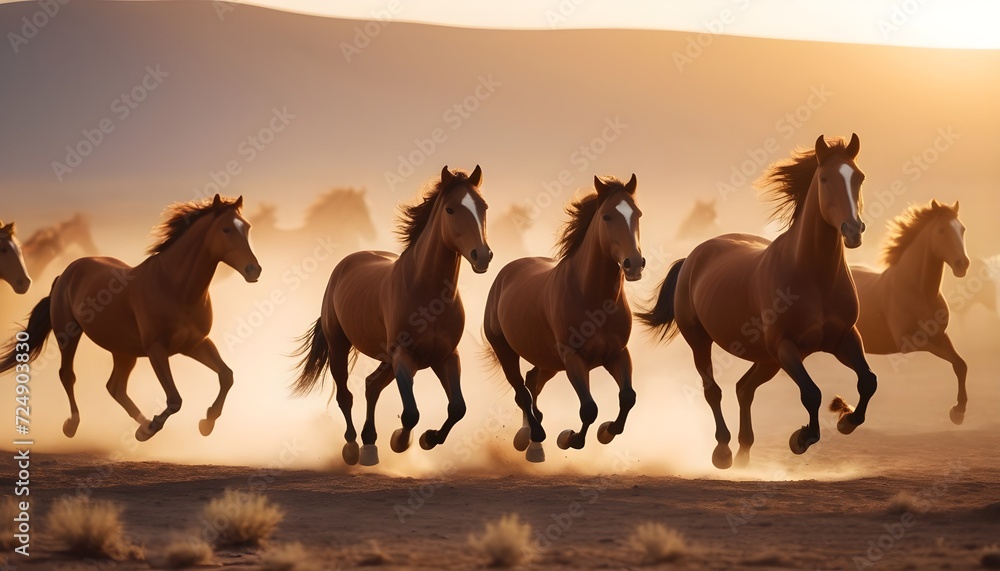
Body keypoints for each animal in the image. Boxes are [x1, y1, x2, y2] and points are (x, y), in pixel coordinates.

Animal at [0, 195, 260, 441]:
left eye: (247, 227)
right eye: (226, 229)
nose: (253, 270)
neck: (173, 286)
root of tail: (65, 273)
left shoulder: (195, 344)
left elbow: (226, 376)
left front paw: (206, 422)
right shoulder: (157, 349)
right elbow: (175, 399)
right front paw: (153, 426)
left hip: (123, 350)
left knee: (115, 387)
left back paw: (141, 425)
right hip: (69, 334)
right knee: (68, 376)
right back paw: (73, 425)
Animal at [291, 166, 491, 466]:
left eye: (483, 207)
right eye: (450, 209)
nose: (483, 256)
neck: (427, 295)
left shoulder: (445, 356)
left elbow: (457, 408)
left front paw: (428, 438)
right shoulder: (403, 356)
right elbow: (410, 413)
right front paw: (400, 441)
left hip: (389, 359)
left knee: (371, 386)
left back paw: (370, 444)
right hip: (340, 346)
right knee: (346, 395)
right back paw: (353, 447)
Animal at [483, 175, 644, 463]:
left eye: (637, 214)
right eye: (607, 216)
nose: (634, 264)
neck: (592, 298)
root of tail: (506, 272)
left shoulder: (617, 354)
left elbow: (628, 397)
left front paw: (606, 431)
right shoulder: (573, 357)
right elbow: (589, 408)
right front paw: (569, 438)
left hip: (549, 360)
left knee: (532, 381)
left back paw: (532, 442)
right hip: (506, 350)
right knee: (521, 391)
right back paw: (533, 437)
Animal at [640, 134, 877, 469]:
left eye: (859, 177)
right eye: (825, 178)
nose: (853, 231)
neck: (814, 276)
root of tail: (695, 255)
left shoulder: (845, 338)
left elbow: (868, 380)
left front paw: (846, 420)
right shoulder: (785, 346)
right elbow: (812, 393)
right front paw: (802, 438)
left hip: (766, 359)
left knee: (744, 389)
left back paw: (743, 452)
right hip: (702, 341)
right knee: (713, 391)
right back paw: (724, 452)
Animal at [852, 200, 970, 424]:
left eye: (962, 229)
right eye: (941, 230)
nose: (963, 265)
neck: (919, 291)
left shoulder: (940, 335)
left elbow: (960, 364)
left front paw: (958, 412)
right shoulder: (909, 342)